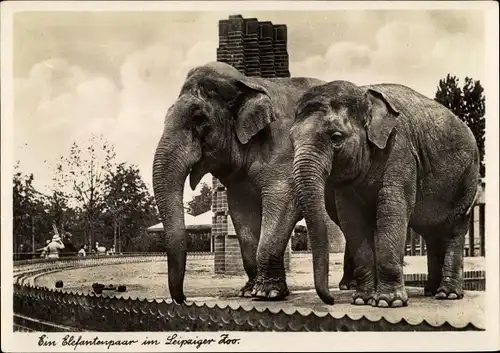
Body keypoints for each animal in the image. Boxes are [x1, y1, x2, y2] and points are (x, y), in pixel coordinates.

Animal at [152, 61, 356, 302]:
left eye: (198, 119)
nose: (183, 298)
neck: (249, 82)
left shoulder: (284, 150)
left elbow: (283, 200)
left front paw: (268, 293)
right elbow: (242, 213)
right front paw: (248, 291)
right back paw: (348, 285)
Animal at [292, 80, 478, 306]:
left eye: (336, 137)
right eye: (291, 139)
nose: (331, 300)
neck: (363, 92)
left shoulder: (400, 151)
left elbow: (392, 211)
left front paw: (388, 302)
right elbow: (352, 220)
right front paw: (362, 300)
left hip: (467, 180)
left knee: (454, 229)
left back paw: (447, 294)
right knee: (431, 232)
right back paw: (431, 291)